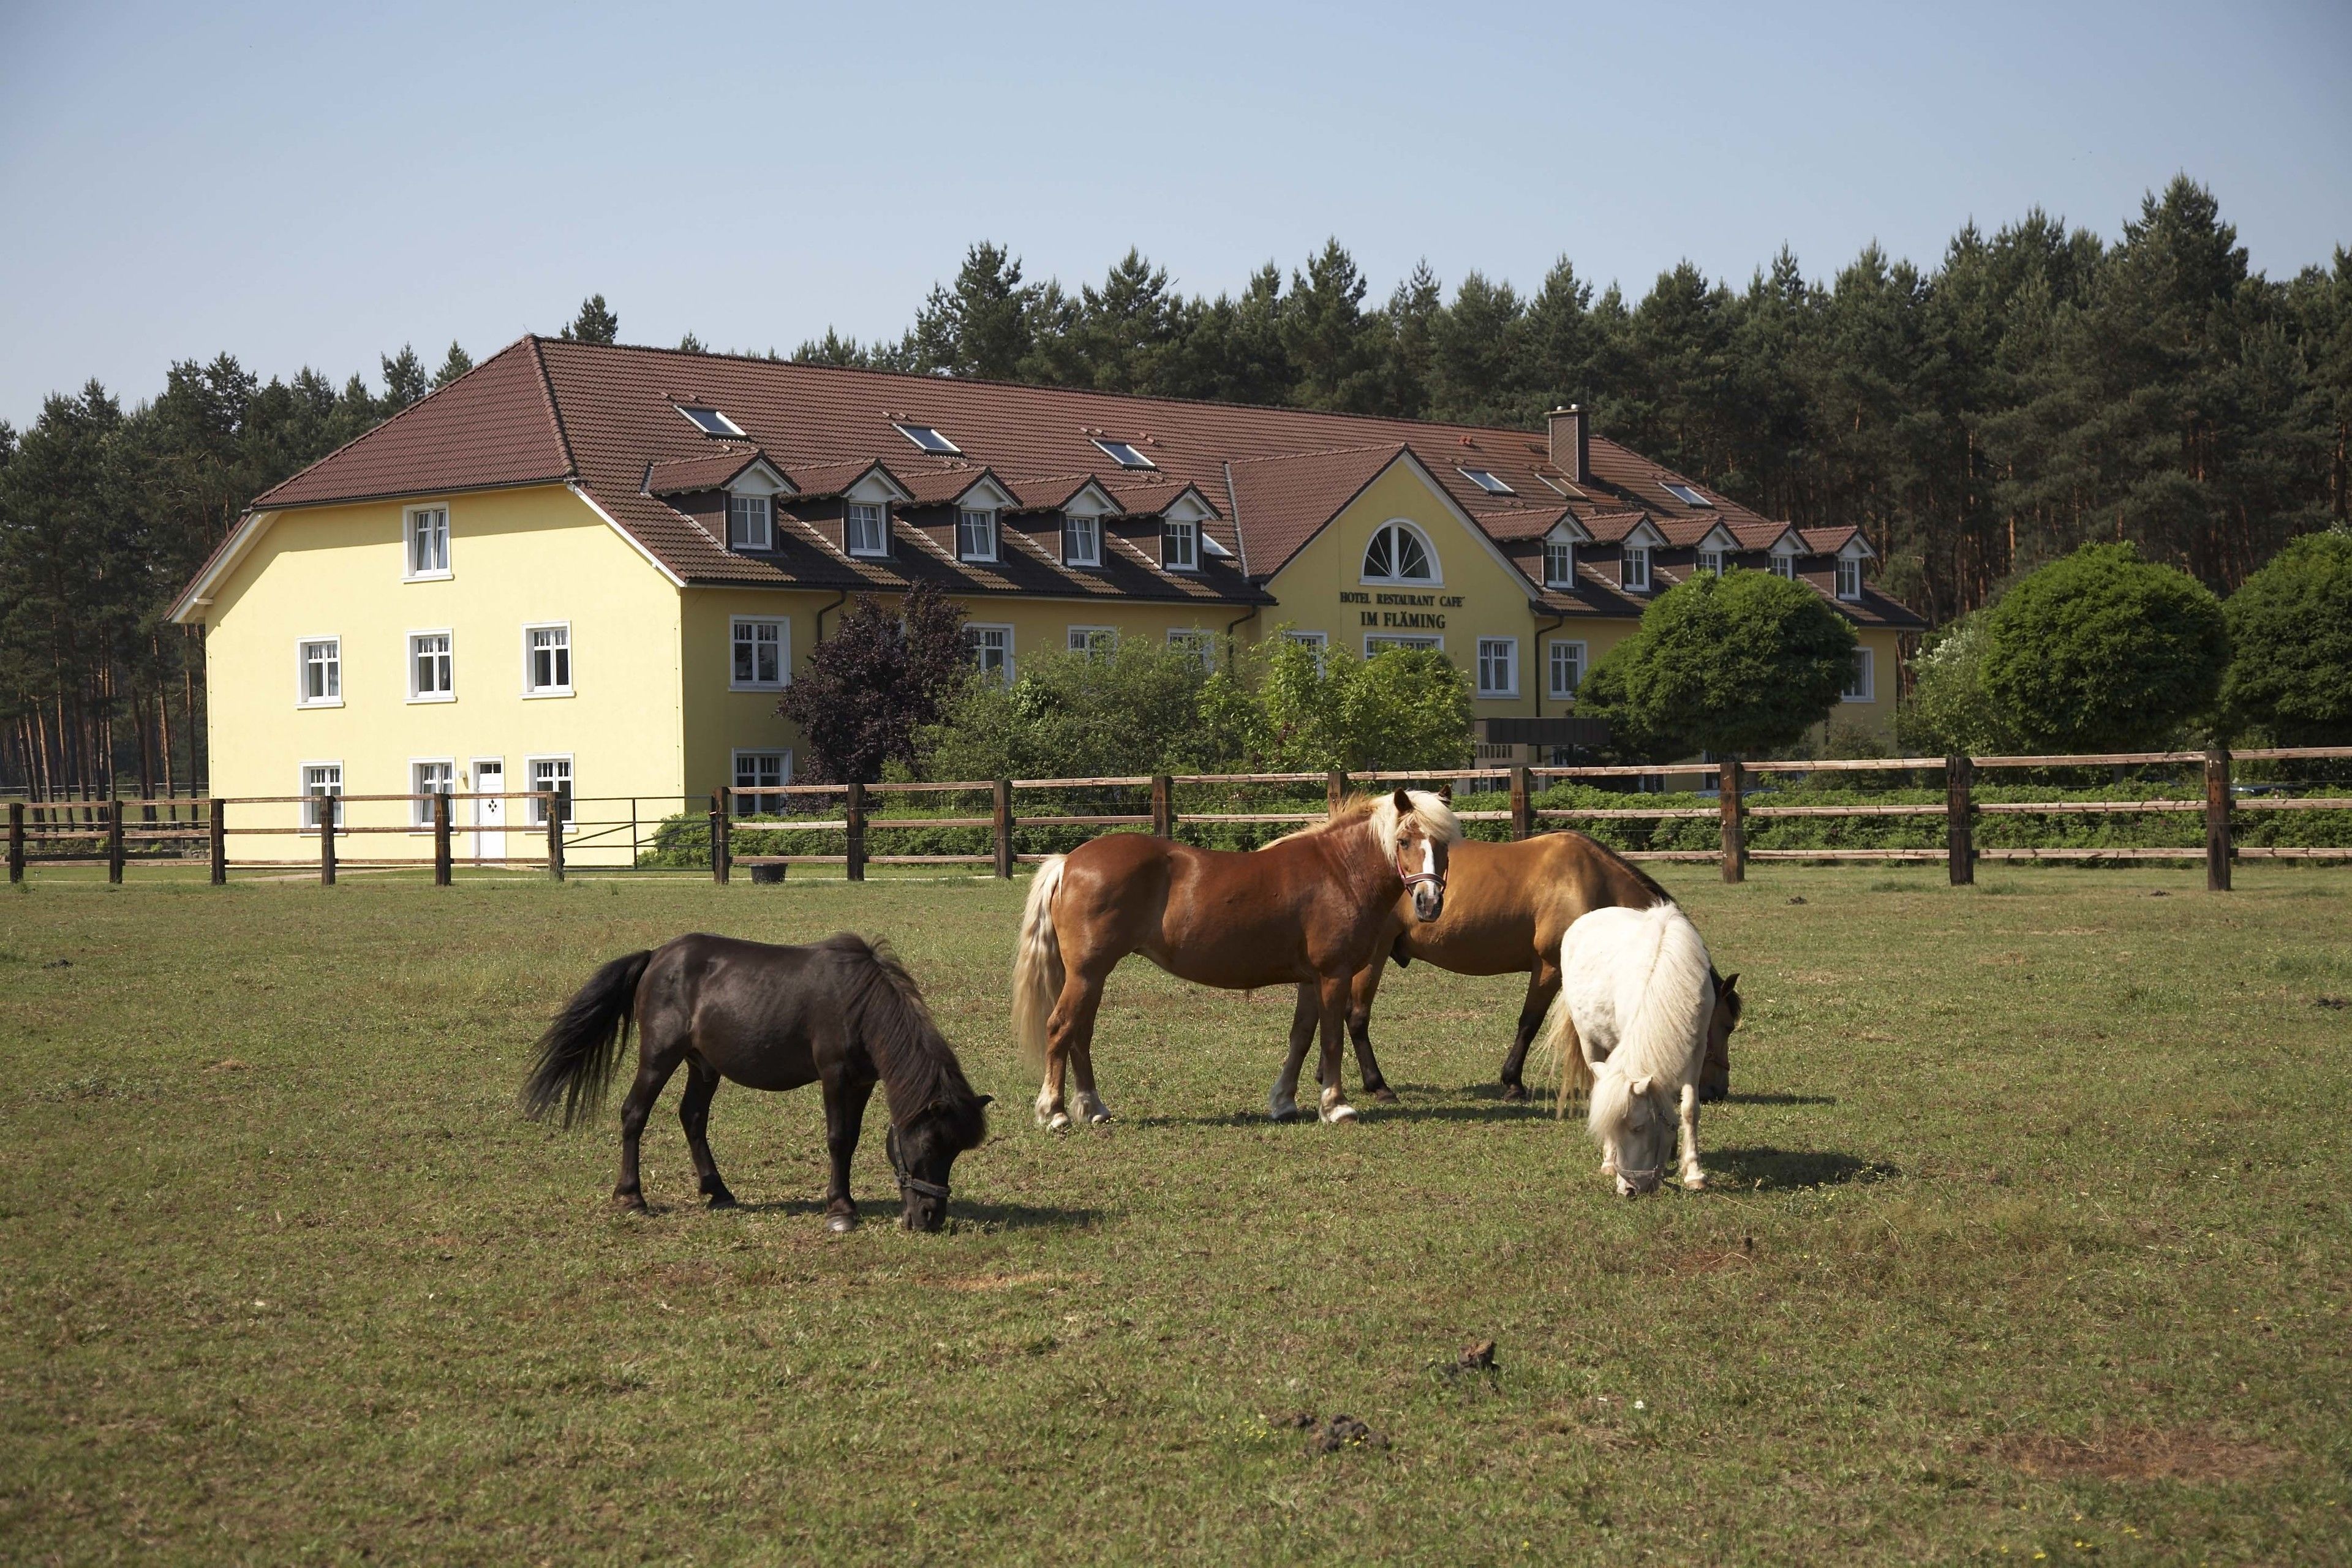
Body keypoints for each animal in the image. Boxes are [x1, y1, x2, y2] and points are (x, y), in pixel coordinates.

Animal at [521, 932, 991, 1232]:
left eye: (957, 1151)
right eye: (929, 1145)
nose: (931, 1217)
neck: (860, 1003)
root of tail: (657, 957)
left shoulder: (861, 1082)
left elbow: (854, 1139)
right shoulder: (835, 1075)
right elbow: (839, 1139)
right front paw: (840, 1210)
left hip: (704, 1065)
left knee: (693, 1117)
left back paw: (718, 1191)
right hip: (659, 1057)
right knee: (634, 1114)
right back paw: (632, 1198)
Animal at [1013, 788, 1461, 1129]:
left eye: (1442, 844)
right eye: (1404, 841)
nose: (1429, 903)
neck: (1340, 872)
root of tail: (1069, 862)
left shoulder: (1310, 979)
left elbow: (1301, 1037)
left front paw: (1284, 1102)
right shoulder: (1333, 974)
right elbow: (1332, 1038)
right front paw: (1336, 1106)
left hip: (1092, 977)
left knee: (1080, 1035)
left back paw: (1093, 1108)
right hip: (1088, 973)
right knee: (1061, 1028)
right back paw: (1054, 1113)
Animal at [1319, 831, 1738, 1105]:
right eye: (1725, 1025)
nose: (1718, 1090)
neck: (1593, 883)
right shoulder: (1550, 969)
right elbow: (1529, 1024)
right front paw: (1513, 1083)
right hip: (1372, 960)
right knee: (1356, 1018)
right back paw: (1378, 1085)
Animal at [1531, 902, 1731, 1196]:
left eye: (1638, 1128)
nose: (1629, 1189)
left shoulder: (1696, 1051)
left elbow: (1689, 1109)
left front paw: (1694, 1173)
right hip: (1589, 1041)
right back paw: (1608, 1162)